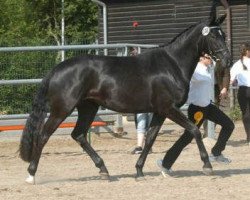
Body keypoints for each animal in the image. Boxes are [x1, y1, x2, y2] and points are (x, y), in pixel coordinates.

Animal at [19, 9, 230, 184]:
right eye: (213, 35)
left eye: (224, 34)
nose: (227, 59)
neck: (172, 65)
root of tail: (56, 69)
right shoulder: (169, 108)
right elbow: (194, 130)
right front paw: (207, 166)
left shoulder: (160, 111)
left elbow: (150, 139)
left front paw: (139, 171)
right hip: (62, 109)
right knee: (43, 135)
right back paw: (31, 174)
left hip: (88, 107)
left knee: (78, 134)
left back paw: (103, 170)